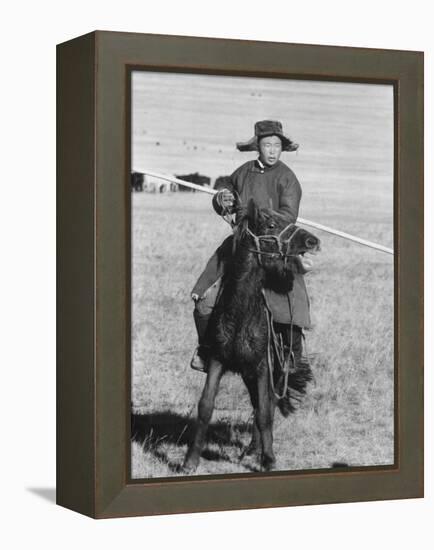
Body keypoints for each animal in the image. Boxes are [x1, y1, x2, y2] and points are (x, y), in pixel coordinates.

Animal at [181, 201, 320, 472]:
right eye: (272, 224)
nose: (313, 241)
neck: (241, 314)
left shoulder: (262, 366)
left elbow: (265, 411)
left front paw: (269, 460)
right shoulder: (218, 361)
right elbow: (206, 406)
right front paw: (190, 461)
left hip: (276, 369)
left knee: (268, 404)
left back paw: (258, 449)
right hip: (247, 373)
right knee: (257, 402)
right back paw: (253, 449)